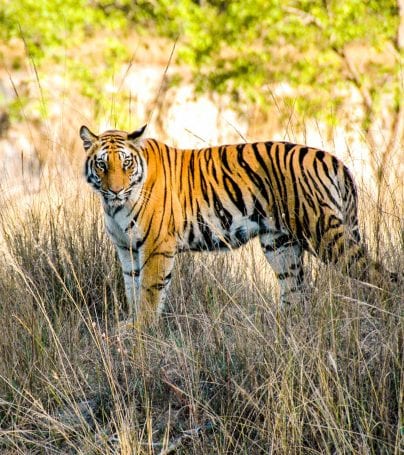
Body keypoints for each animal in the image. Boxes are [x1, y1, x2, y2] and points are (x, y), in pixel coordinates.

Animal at [79, 123, 394, 326]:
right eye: (102, 164)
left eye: (126, 163)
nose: (116, 190)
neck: (114, 206)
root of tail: (335, 159)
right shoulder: (127, 248)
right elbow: (131, 288)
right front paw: (130, 327)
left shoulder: (157, 246)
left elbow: (149, 292)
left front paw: (142, 333)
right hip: (280, 245)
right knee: (295, 293)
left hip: (324, 233)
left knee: (380, 276)